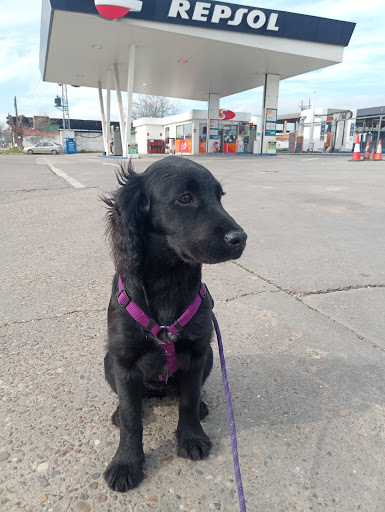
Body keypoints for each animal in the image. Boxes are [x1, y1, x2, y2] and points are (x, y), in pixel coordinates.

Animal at [102, 157, 246, 492]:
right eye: (185, 198)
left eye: (219, 197)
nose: (240, 239)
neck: (168, 281)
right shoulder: (123, 360)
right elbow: (131, 419)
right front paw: (126, 462)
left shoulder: (196, 353)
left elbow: (189, 401)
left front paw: (191, 437)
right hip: (106, 362)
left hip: (210, 358)